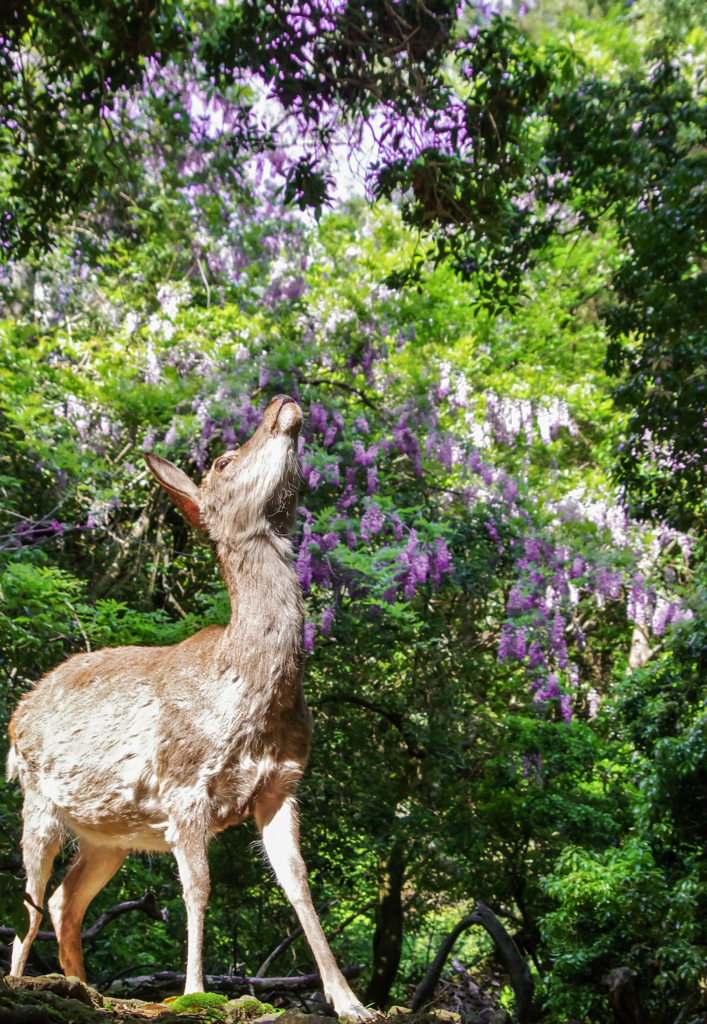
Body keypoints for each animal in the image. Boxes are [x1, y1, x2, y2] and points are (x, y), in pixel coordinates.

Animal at [6, 395, 368, 1019]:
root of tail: (16, 713)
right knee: (28, 902)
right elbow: (197, 888)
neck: (248, 696)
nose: (281, 402)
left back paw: (84, 986)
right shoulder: (183, 785)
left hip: (109, 835)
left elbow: (299, 885)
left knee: (62, 900)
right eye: (223, 461)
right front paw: (195, 992)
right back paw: (26, 981)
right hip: (38, 799)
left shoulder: (281, 785)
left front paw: (349, 1001)